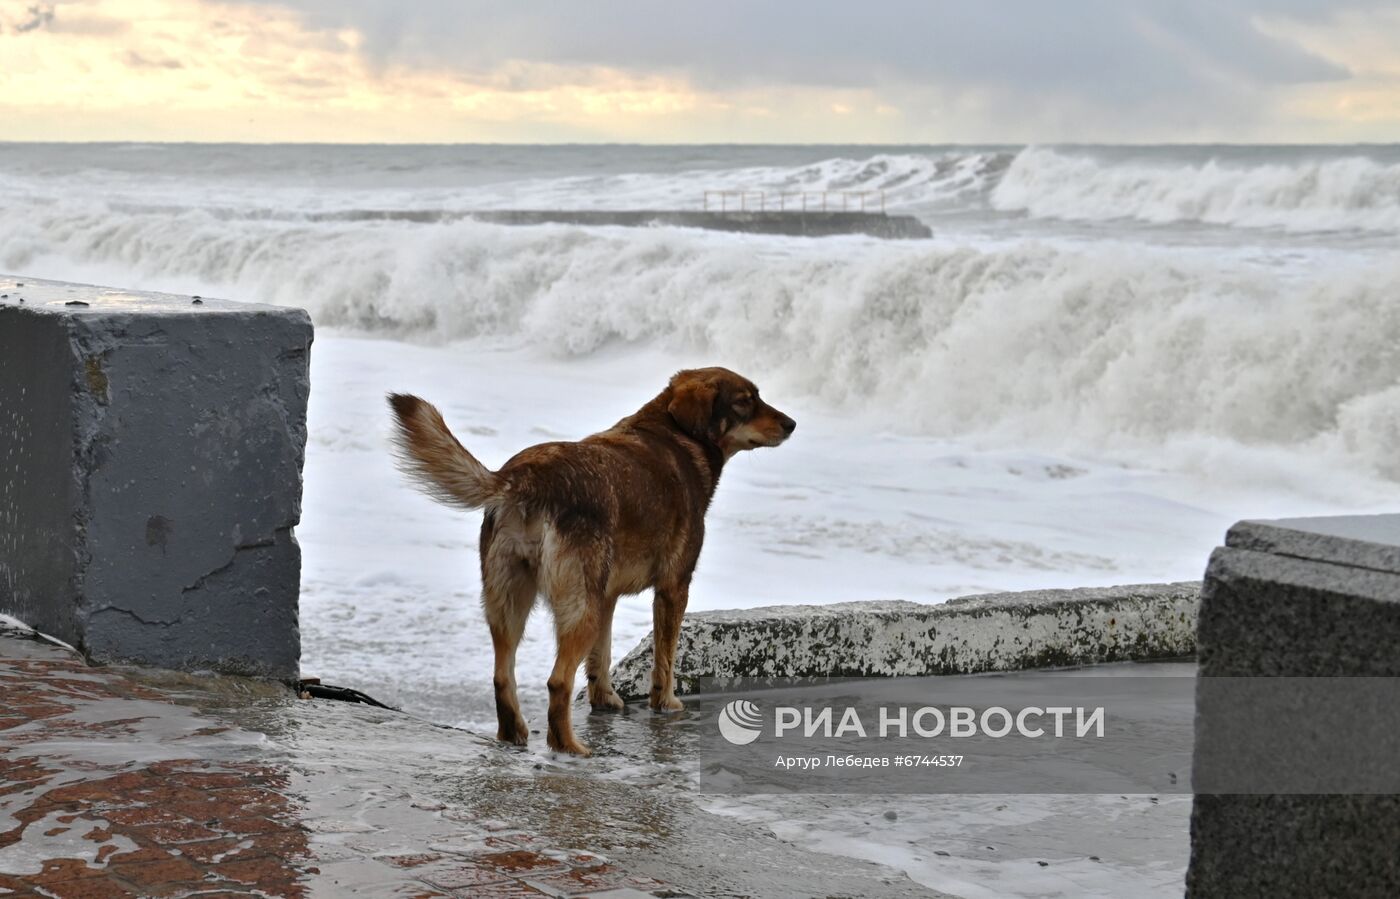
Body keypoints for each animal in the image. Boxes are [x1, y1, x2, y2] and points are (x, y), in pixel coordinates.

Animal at [389, 366, 795, 750]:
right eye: (744, 402)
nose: (791, 424)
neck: (675, 434)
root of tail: (524, 478)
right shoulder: (673, 588)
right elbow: (664, 660)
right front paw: (665, 705)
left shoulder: (608, 596)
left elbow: (601, 657)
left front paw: (605, 700)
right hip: (580, 605)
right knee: (557, 681)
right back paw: (568, 746)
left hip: (514, 600)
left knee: (503, 676)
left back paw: (514, 734)